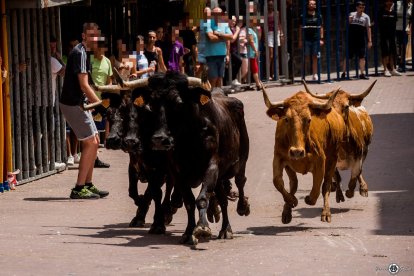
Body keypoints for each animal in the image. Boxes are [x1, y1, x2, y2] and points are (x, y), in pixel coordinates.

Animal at [262, 87, 346, 223]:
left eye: (309, 119)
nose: (297, 151)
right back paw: (287, 211)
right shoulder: (278, 157)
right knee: (294, 184)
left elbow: (317, 189)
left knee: (326, 184)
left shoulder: (321, 161)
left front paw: (308, 199)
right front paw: (292, 201)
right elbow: (278, 182)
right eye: (286, 119)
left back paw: (326, 212)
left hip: (333, 157)